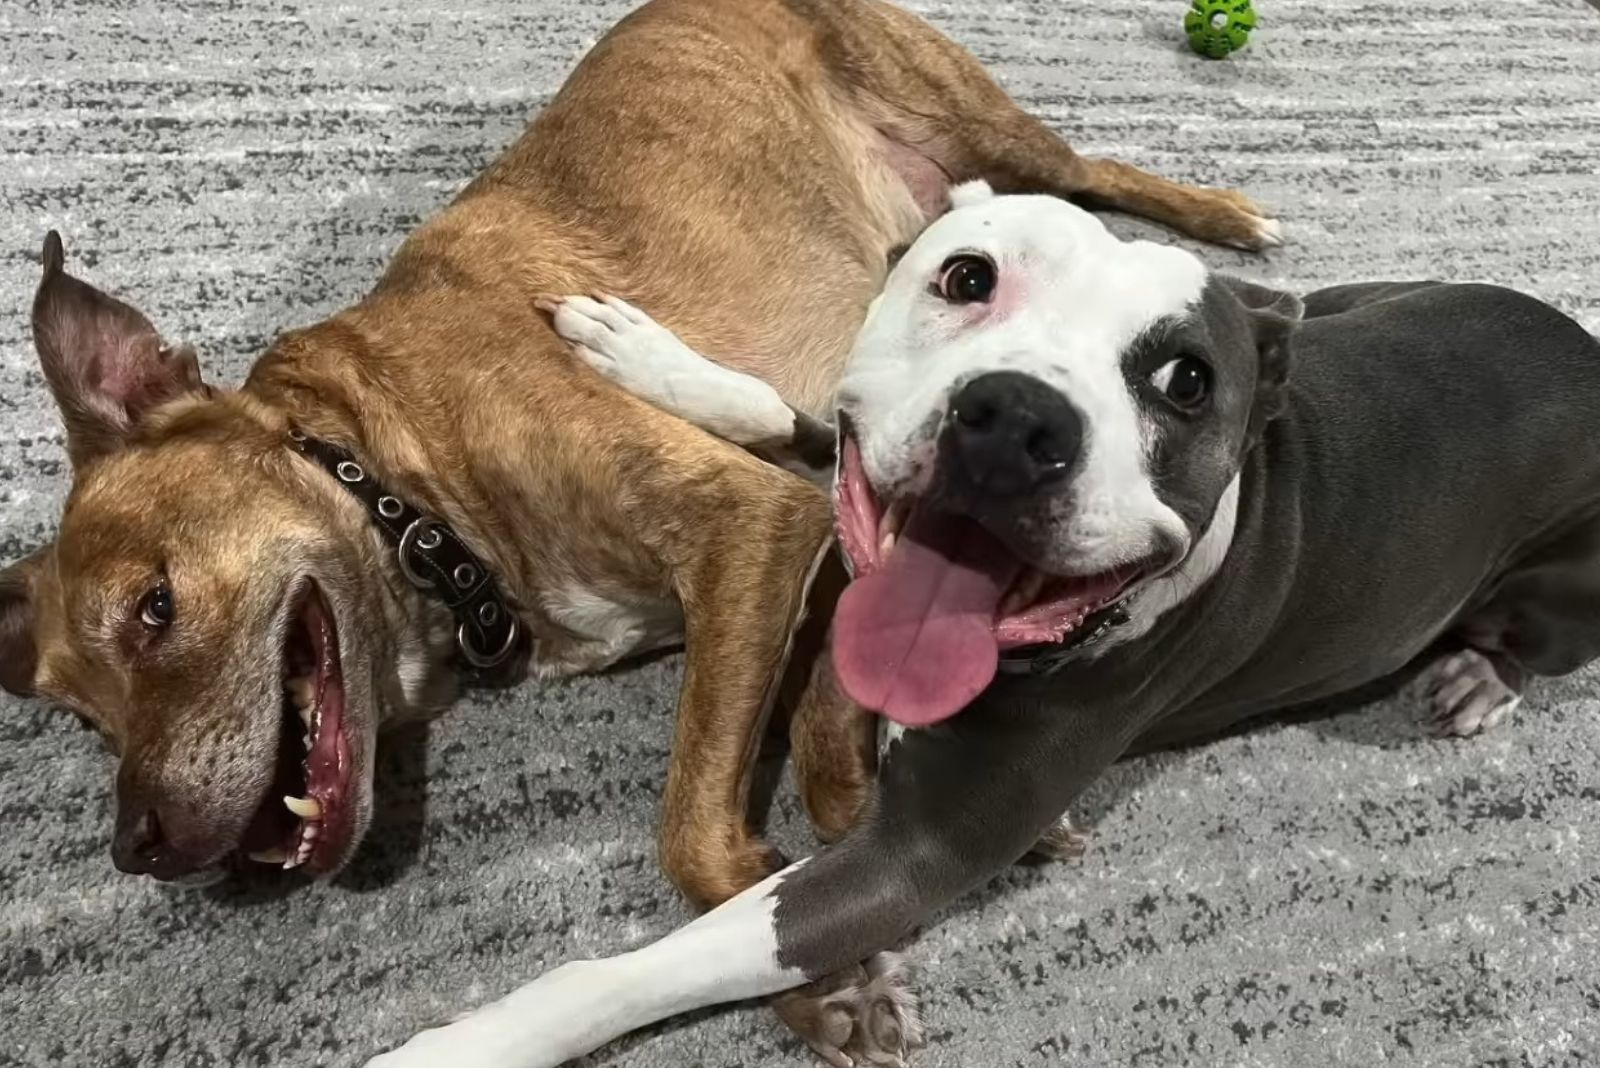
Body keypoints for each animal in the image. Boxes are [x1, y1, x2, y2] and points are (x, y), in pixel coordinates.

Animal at [0, 2, 1273, 908]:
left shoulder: (750, 526)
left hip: (963, 103)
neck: (403, 490)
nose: (136, 848)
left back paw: (1228, 212)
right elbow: (817, 727)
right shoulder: (807, 546)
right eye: (81, 716)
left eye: (156, 609)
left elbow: (694, 835)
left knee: (1095, 173)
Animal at [368, 185, 1600, 1068]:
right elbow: (790, 418)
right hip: (1353, 298)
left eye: (1185, 381)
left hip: (1561, 586)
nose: (1015, 420)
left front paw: (458, 1048)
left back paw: (1475, 682)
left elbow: (640, 969)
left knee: (1531, 644)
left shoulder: (918, 853)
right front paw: (647, 357)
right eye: (966, 275)